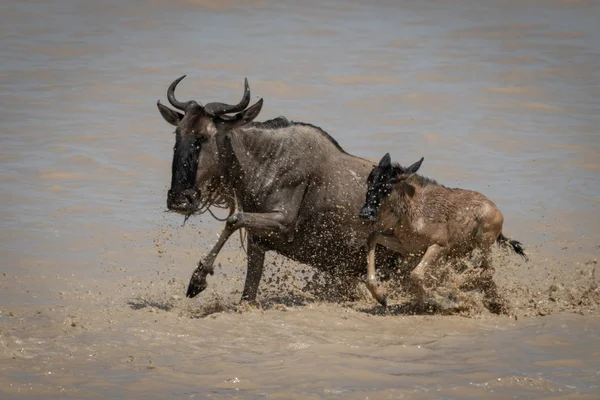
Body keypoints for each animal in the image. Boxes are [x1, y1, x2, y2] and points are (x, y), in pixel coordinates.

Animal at [358, 152, 528, 310]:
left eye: (387, 186)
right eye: (369, 180)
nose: (366, 213)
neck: (414, 209)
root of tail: (497, 211)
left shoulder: (439, 246)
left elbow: (416, 274)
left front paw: (441, 300)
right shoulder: (406, 247)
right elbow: (373, 237)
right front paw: (381, 297)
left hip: (483, 242)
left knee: (487, 271)